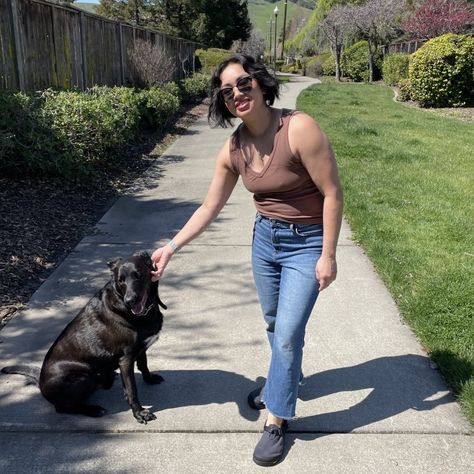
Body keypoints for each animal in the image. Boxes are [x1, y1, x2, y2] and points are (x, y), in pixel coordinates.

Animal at [2, 250, 166, 424]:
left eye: (138, 275)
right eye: (120, 281)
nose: (130, 301)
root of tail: (40, 382)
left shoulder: (141, 348)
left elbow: (143, 365)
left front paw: (149, 379)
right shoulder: (126, 360)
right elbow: (131, 390)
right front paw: (139, 413)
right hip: (81, 377)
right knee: (63, 408)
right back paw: (92, 409)